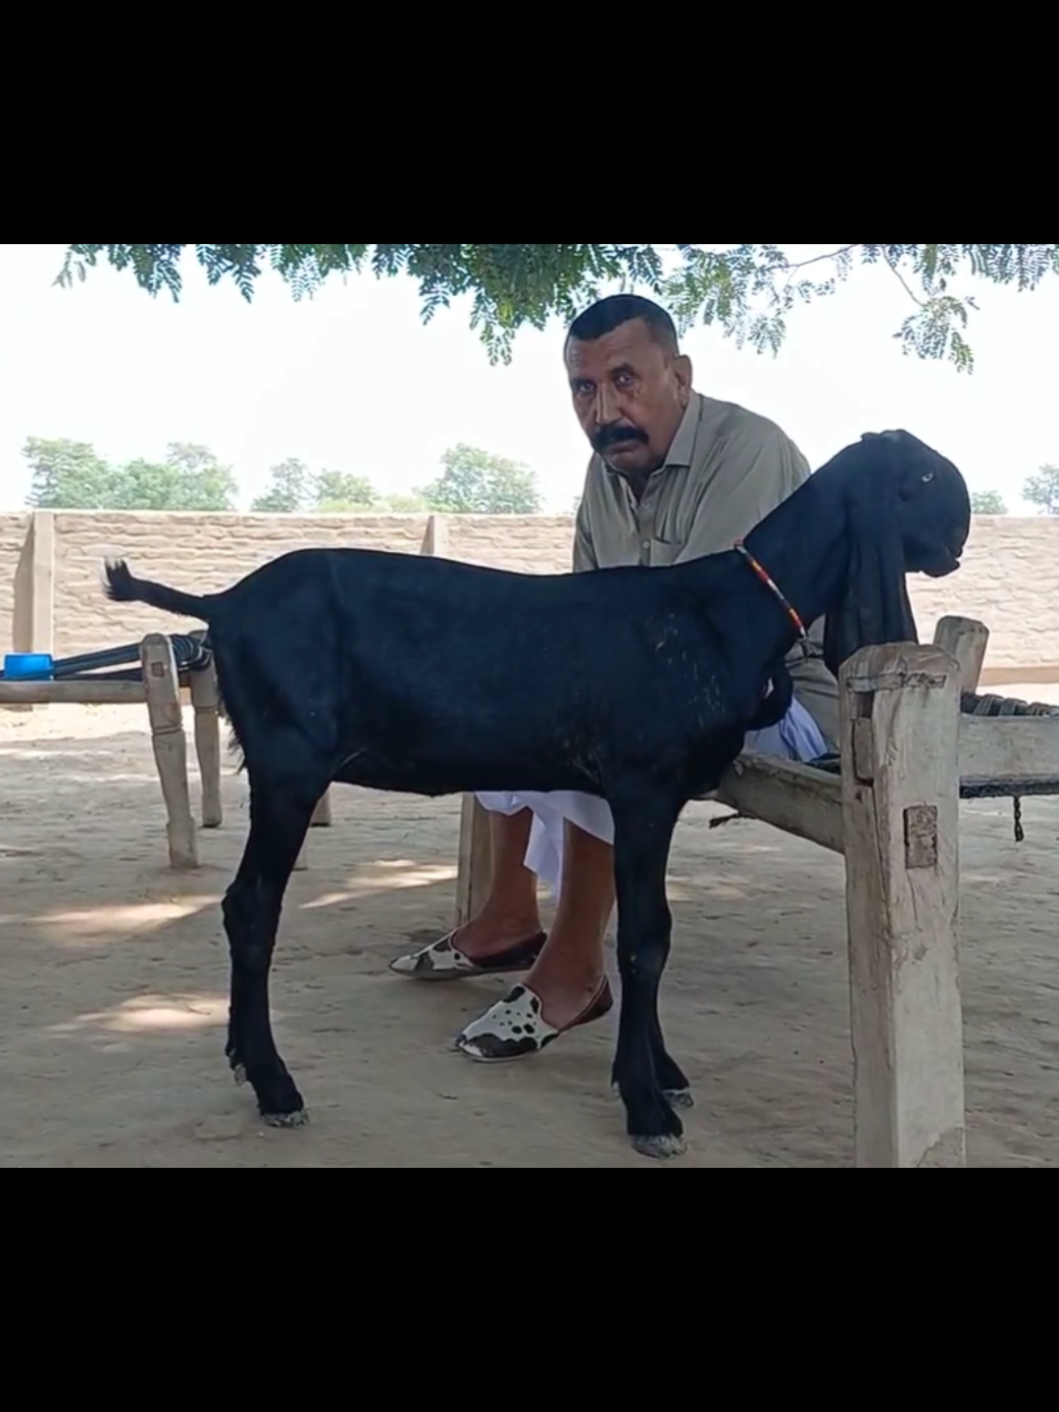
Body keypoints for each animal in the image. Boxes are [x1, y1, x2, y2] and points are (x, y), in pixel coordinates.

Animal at [103, 429, 971, 1160]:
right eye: (923, 476)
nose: (960, 533)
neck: (722, 611)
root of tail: (221, 604)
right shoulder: (643, 784)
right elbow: (646, 938)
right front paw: (646, 1105)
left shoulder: (652, 799)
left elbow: (648, 930)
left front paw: (662, 1073)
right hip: (289, 768)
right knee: (252, 907)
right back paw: (274, 1083)